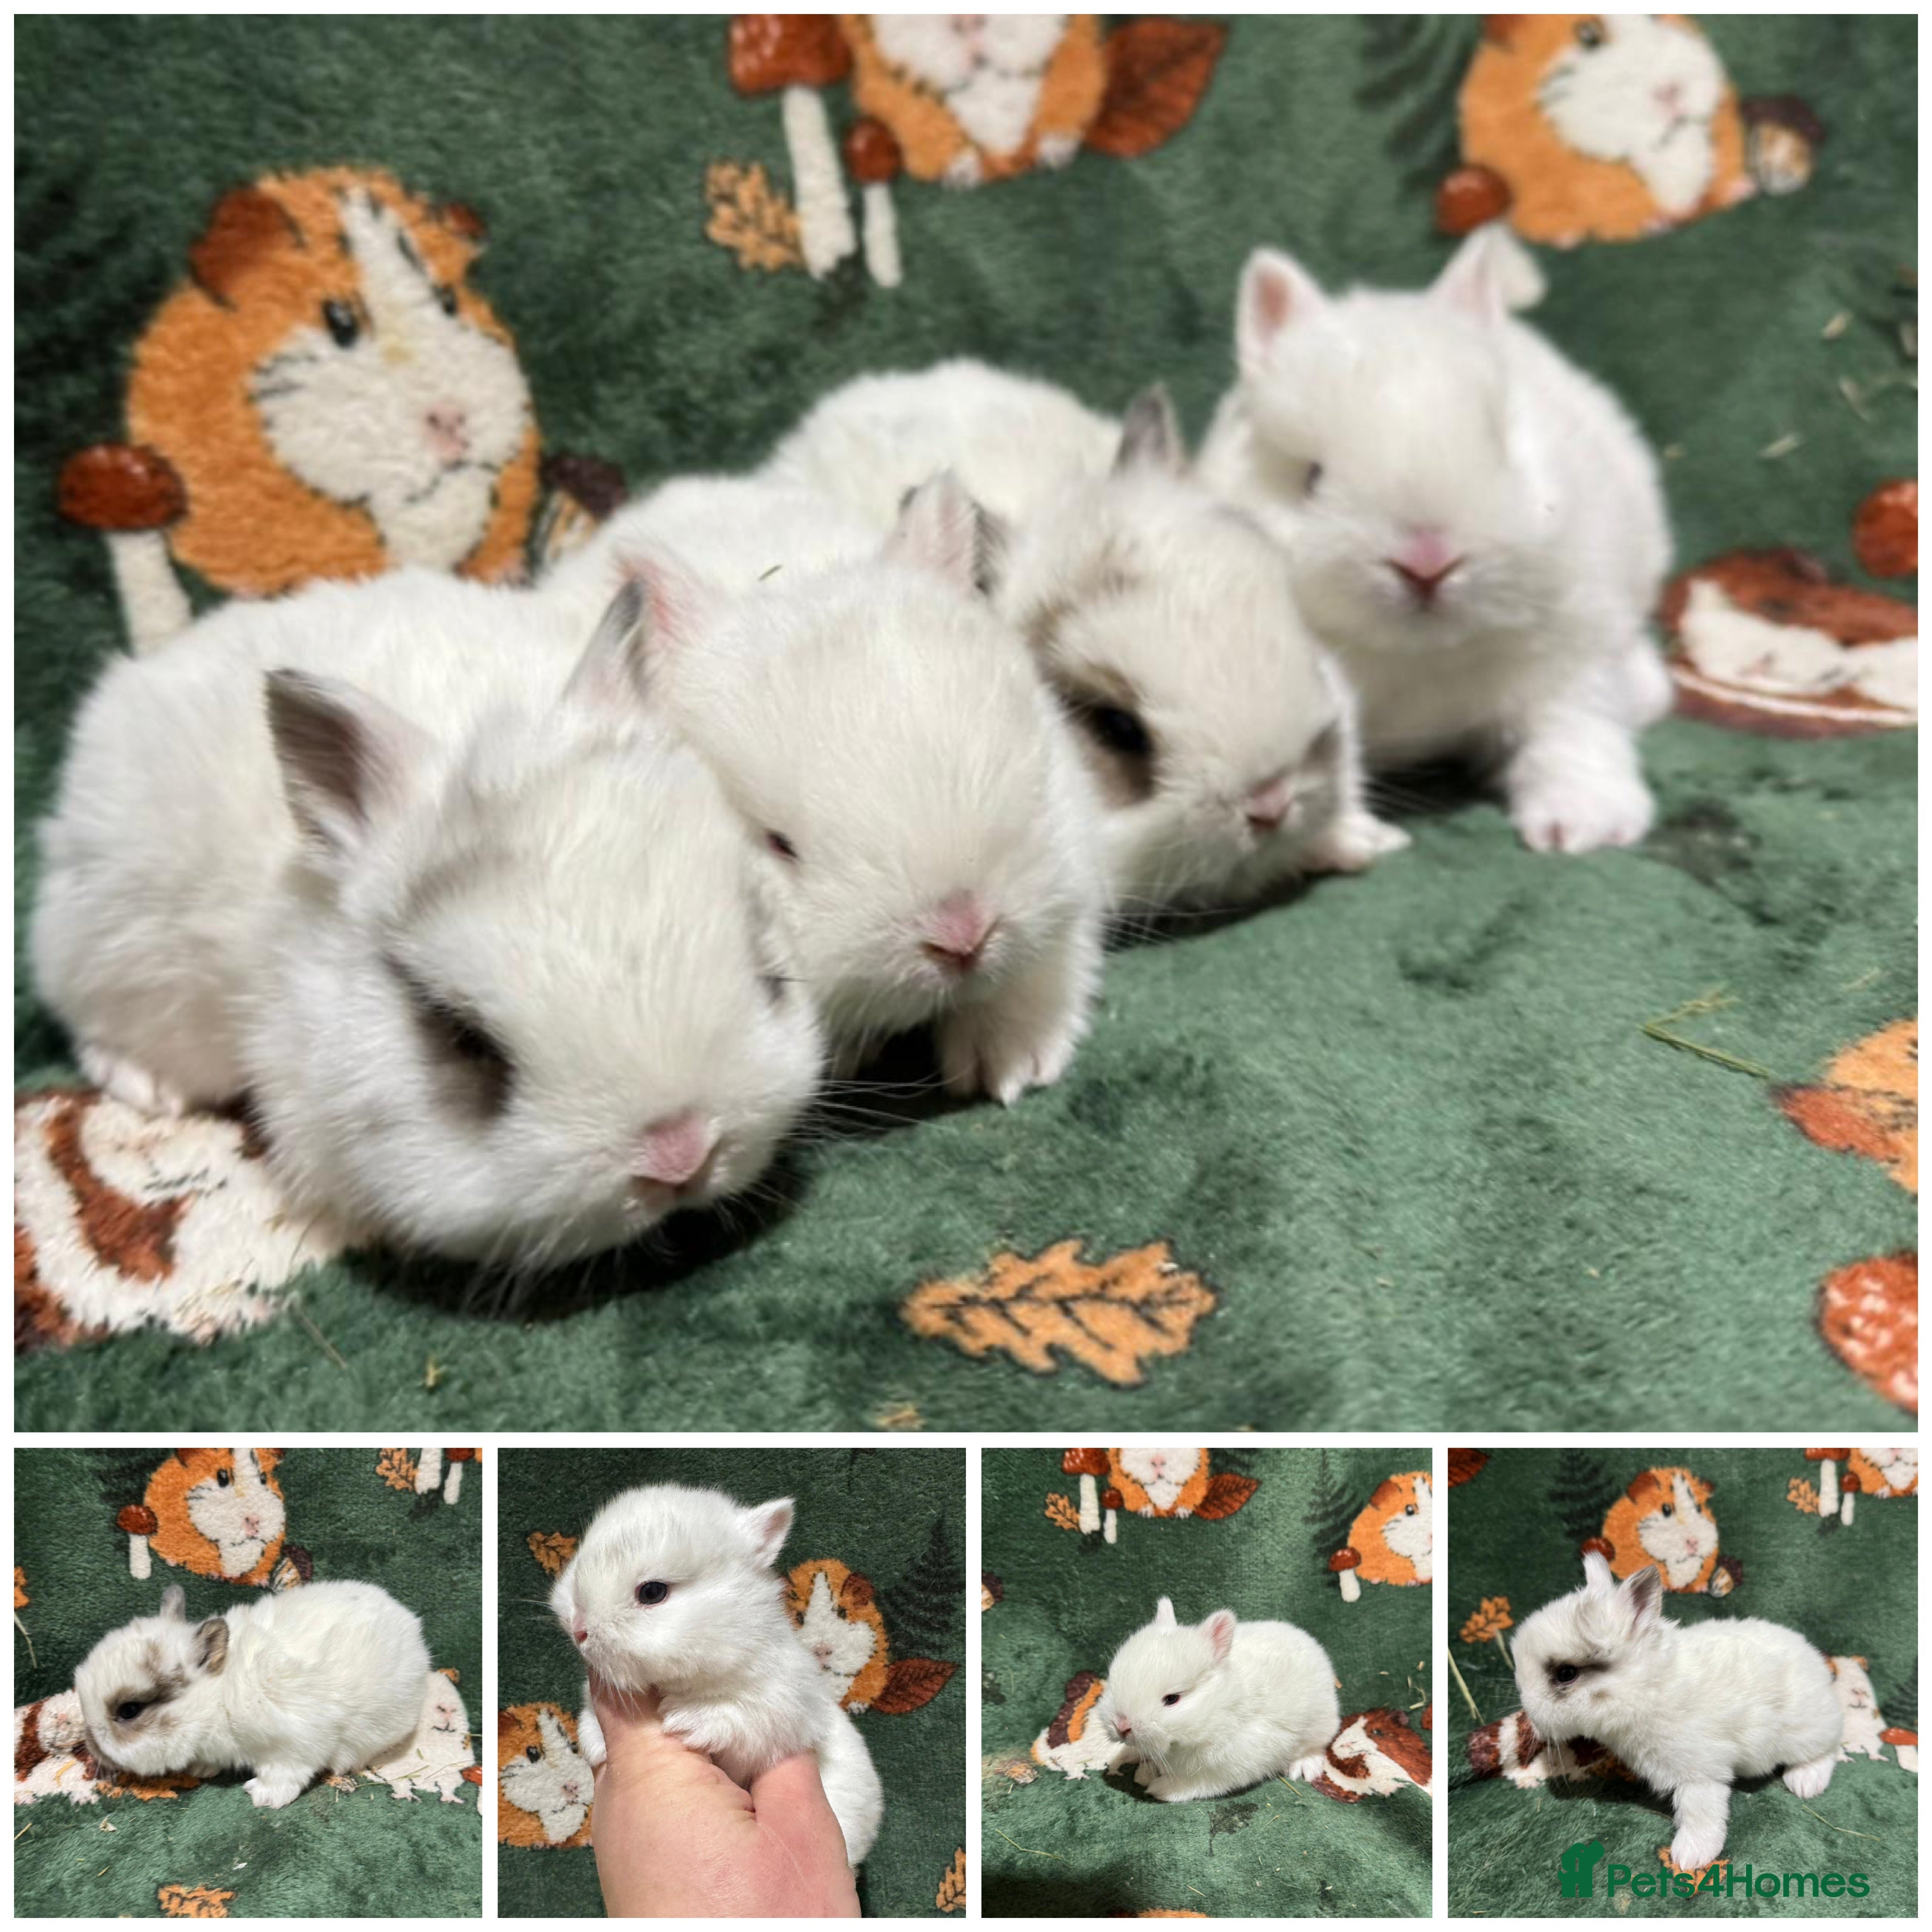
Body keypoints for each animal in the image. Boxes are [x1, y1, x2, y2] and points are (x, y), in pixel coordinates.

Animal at [73, 1579, 431, 1810]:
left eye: (130, 1710)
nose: (90, 1745)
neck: (219, 1698)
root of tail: (411, 1624)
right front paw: (201, 1770)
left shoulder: (294, 1745)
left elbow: (284, 1774)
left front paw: (264, 1797)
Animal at [550, 1483, 884, 1866]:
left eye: (653, 1592)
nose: (579, 1630)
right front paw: (595, 1744)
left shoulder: (778, 1708)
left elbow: (735, 1715)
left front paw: (686, 1722)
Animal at [1096, 1595, 1341, 1803]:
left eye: (1172, 1699)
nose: (1122, 1726)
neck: (1218, 1708)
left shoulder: (1224, 1767)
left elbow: (1196, 1784)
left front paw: (1161, 1789)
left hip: (1319, 1726)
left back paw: (1305, 1766)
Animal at [1198, 223, 1675, 855]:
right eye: (1312, 478)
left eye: (1499, 446)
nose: (1426, 561)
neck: (1423, 655)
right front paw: (1350, 838)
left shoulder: (1574, 651)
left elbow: (1574, 730)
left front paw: (1580, 828)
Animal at [1513, 1555, 1846, 1871]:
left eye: (1566, 1674)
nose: (1530, 1715)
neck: (1647, 1689)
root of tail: (1819, 1668)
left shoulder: (1700, 1774)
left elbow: (1700, 1813)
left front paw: (1690, 1857)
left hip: (1806, 1733)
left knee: (1829, 1748)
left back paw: (1806, 1784)